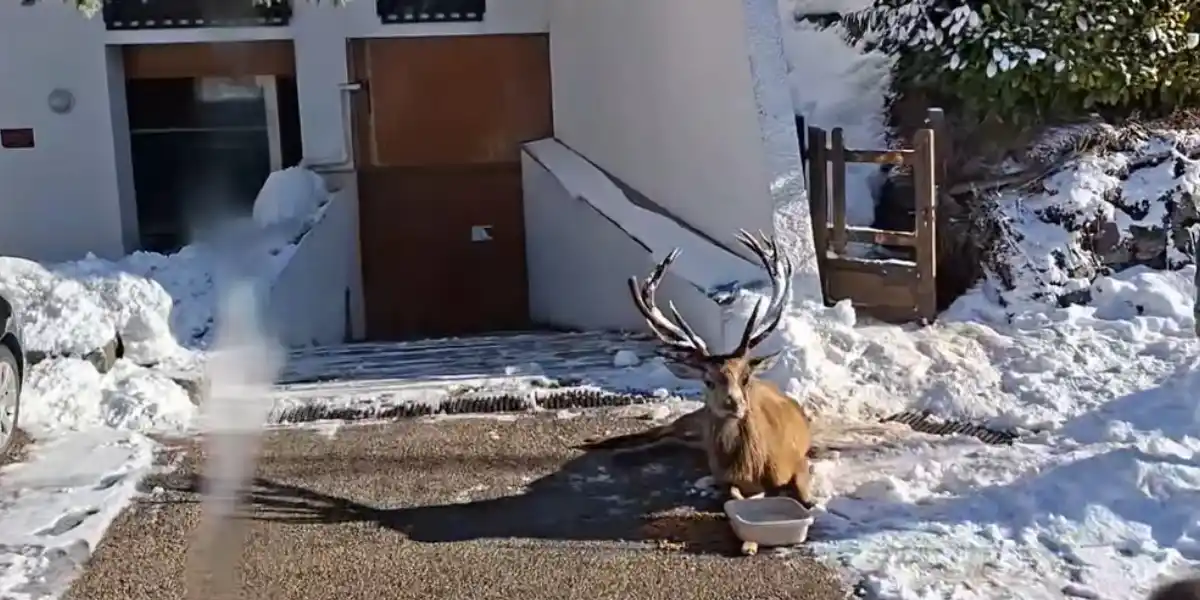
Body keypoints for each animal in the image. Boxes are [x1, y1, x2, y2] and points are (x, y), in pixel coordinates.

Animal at [623, 231, 814, 553]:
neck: (752, 465)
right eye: (708, 381)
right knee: (658, 432)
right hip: (693, 422)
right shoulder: (725, 476)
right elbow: (733, 498)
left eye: (746, 377)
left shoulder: (798, 459)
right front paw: (749, 541)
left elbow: (803, 496)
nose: (733, 404)